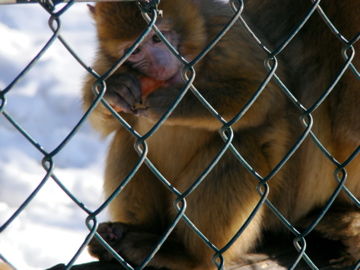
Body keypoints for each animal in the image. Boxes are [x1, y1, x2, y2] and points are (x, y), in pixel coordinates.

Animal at [82, 0, 360, 268]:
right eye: (135, 50)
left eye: (158, 38)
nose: (159, 66)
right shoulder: (111, 64)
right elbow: (108, 119)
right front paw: (114, 90)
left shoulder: (226, 35)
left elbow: (263, 94)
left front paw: (177, 102)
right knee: (130, 141)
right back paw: (134, 232)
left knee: (240, 146)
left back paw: (187, 256)